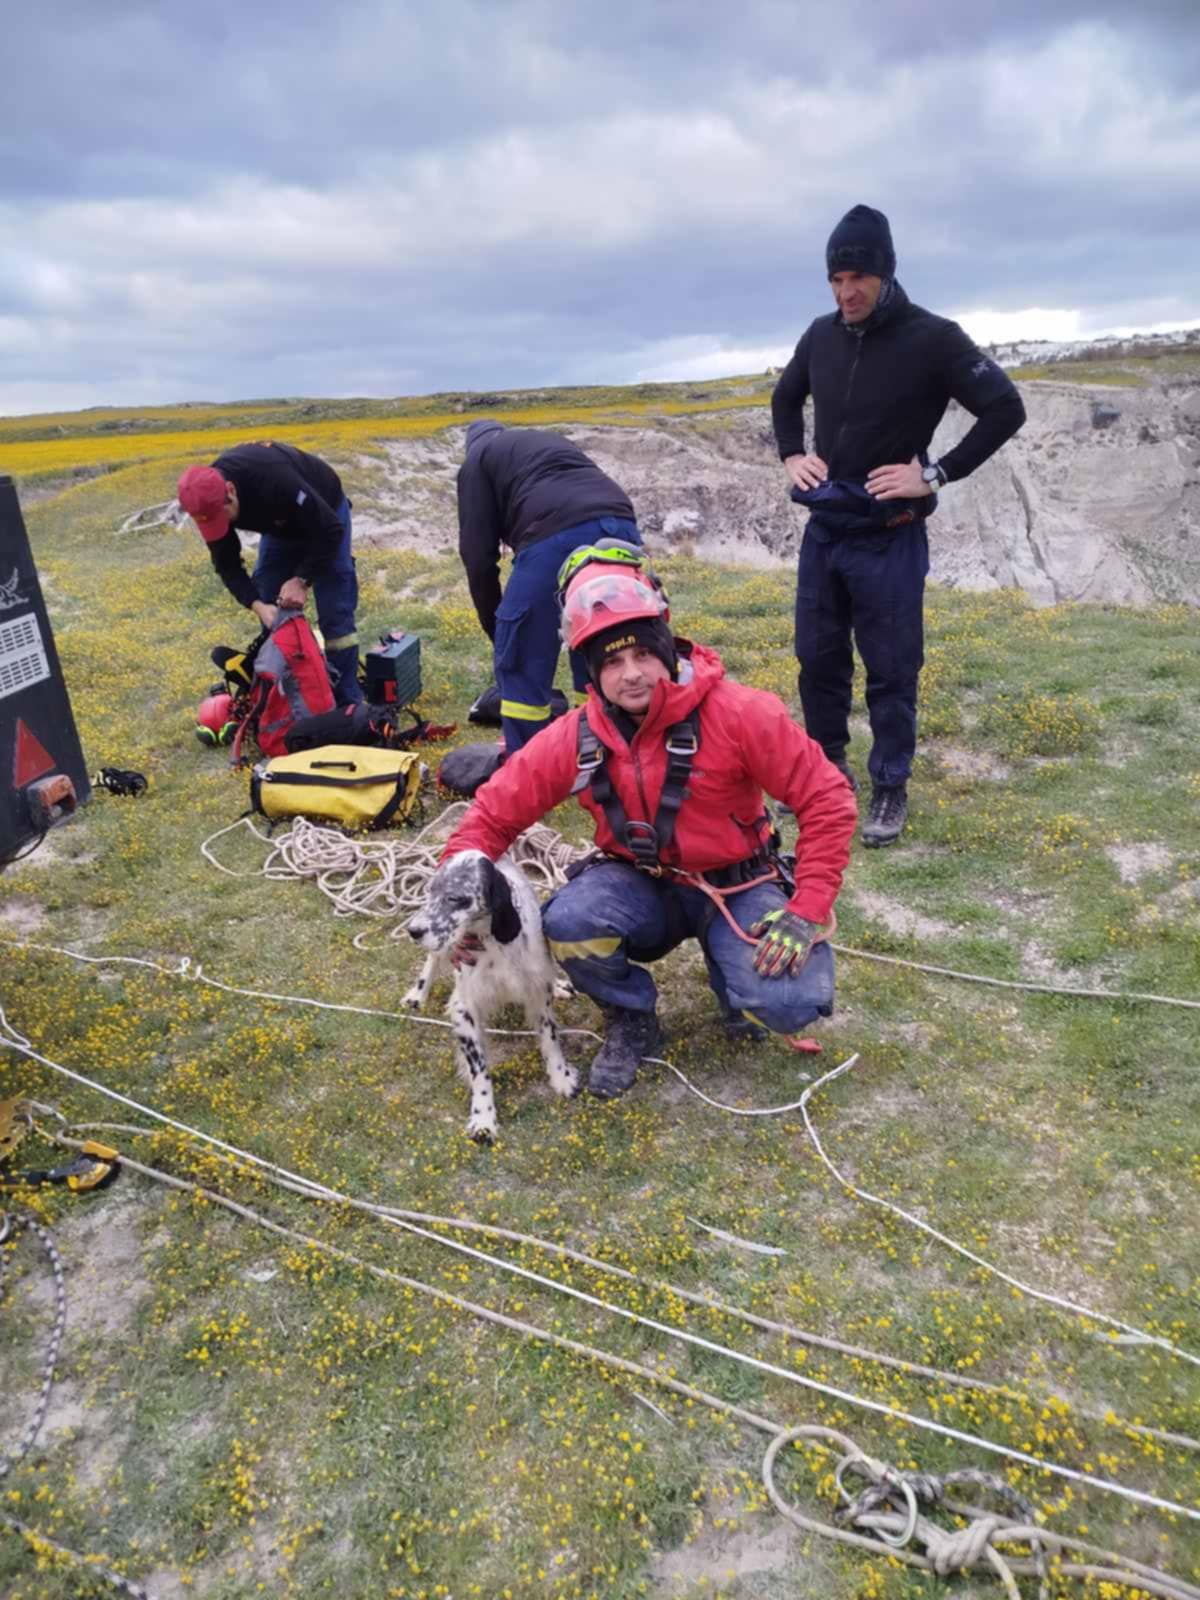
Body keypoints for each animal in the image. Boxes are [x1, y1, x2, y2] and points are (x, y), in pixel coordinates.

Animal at [404, 851, 579, 1139]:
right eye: (431, 891)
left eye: (454, 898)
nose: (413, 930)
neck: (494, 942)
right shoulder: (465, 1009)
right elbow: (479, 1070)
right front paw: (483, 1118)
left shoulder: (537, 993)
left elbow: (551, 1039)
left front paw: (561, 1077)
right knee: (433, 958)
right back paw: (417, 994)